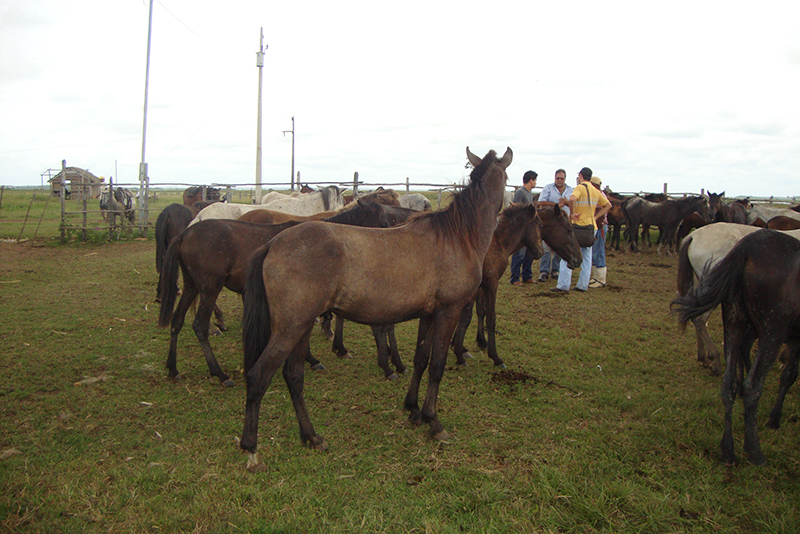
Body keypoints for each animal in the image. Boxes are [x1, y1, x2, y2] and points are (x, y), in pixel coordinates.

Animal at [156, 199, 394, 388]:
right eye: (383, 223)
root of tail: (185, 235)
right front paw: (314, 358)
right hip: (209, 289)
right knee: (199, 326)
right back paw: (220, 373)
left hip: (192, 286)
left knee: (177, 321)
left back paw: (173, 369)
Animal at [239, 147, 512, 474]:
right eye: (507, 178)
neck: (458, 237)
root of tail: (272, 244)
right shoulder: (449, 312)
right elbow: (437, 365)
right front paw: (433, 421)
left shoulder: (428, 315)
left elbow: (420, 360)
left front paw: (413, 410)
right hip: (288, 329)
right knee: (258, 377)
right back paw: (251, 450)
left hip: (301, 328)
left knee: (293, 377)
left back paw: (311, 437)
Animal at [450, 203, 580, 370]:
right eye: (569, 230)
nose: (578, 259)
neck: (498, 242)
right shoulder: (491, 283)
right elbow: (486, 317)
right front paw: (494, 357)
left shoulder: (480, 287)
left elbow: (476, 313)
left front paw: (469, 346)